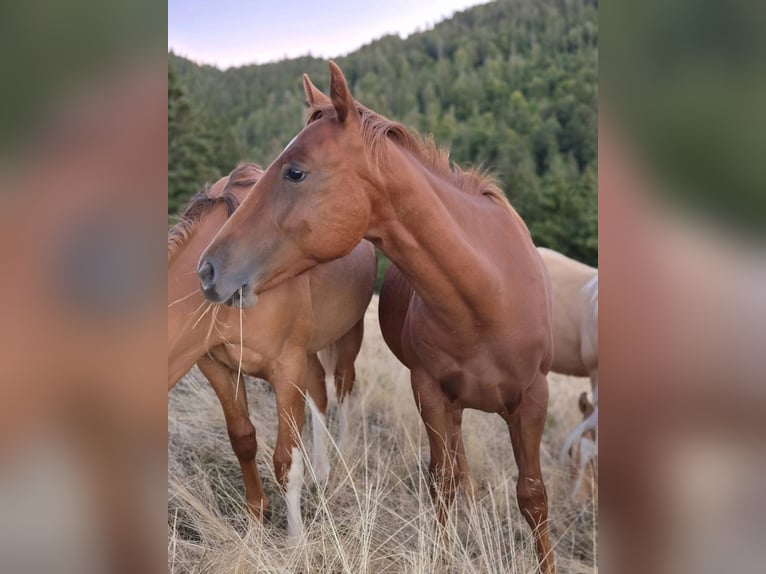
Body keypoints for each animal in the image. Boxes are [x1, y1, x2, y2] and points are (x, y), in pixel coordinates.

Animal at [168, 163, 376, 539]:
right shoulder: (216, 366)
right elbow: (243, 440)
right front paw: (256, 522)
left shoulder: (286, 368)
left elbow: (286, 460)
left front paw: (296, 540)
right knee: (320, 392)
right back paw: (321, 471)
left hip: (348, 335)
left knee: (342, 387)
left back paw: (342, 461)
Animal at [196, 62, 557, 573]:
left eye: (295, 172)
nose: (208, 269)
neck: (488, 296)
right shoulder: (429, 391)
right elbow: (442, 480)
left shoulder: (533, 398)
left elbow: (532, 495)